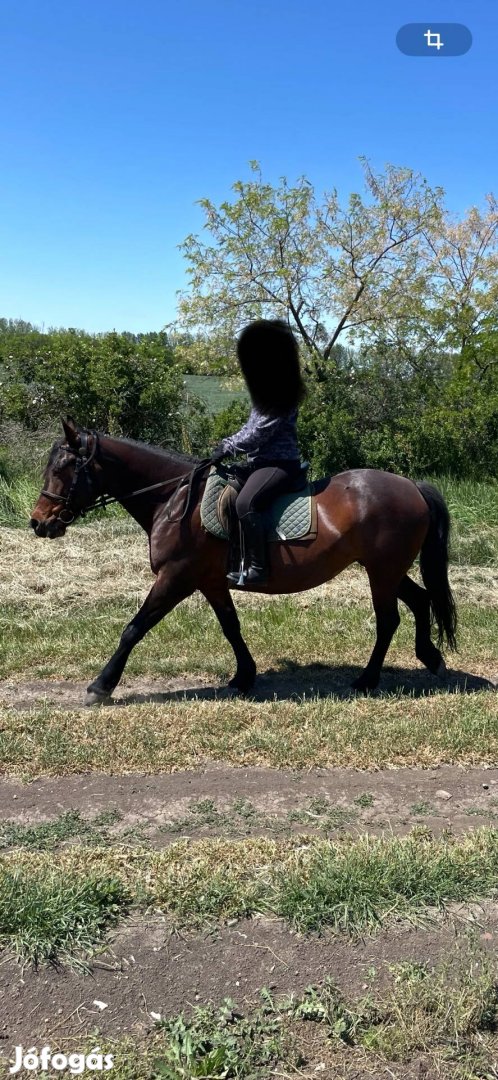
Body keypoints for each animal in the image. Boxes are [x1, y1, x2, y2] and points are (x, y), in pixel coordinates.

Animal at [31, 416, 455, 704]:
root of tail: (411, 486)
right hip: (386, 569)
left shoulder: (175, 578)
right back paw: (430, 659)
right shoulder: (210, 581)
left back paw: (368, 679)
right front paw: (244, 677)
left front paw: (100, 686)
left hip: (382, 571)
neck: (174, 500)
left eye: (63, 468)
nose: (38, 523)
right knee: (420, 601)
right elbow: (231, 627)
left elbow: (134, 629)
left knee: (389, 619)